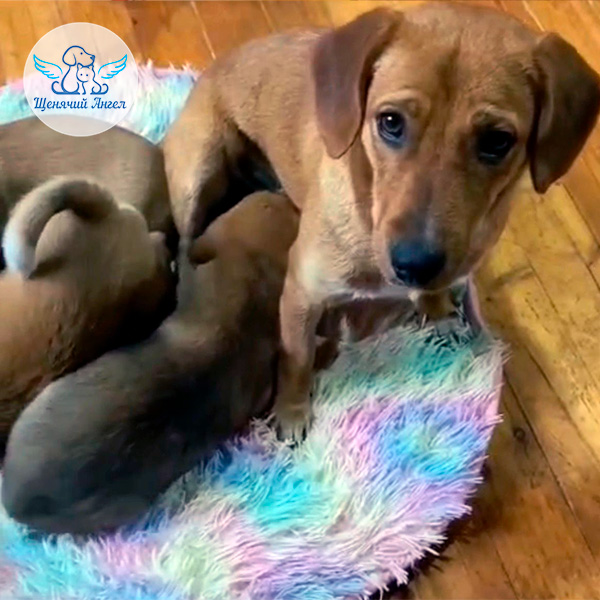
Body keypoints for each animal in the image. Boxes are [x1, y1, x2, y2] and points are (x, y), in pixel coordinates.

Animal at [163, 3, 600, 440]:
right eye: (390, 122)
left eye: (497, 141)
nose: (414, 264)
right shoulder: (302, 294)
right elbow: (296, 361)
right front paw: (291, 413)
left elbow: (436, 293)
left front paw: (438, 310)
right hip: (196, 172)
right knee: (184, 241)